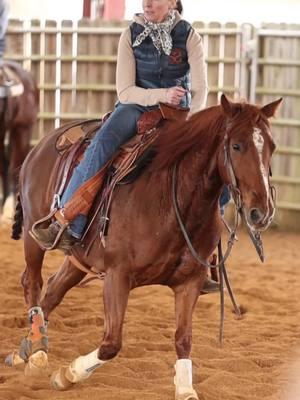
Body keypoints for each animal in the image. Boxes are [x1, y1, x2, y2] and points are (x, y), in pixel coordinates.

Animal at [6, 95, 282, 398]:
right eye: (236, 145)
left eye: (272, 146)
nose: (262, 213)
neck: (173, 200)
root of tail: (40, 146)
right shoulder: (117, 276)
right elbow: (111, 343)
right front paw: (67, 375)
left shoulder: (190, 282)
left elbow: (183, 339)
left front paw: (185, 387)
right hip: (33, 236)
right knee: (32, 282)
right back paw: (36, 349)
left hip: (80, 257)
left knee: (54, 289)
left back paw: (28, 350)